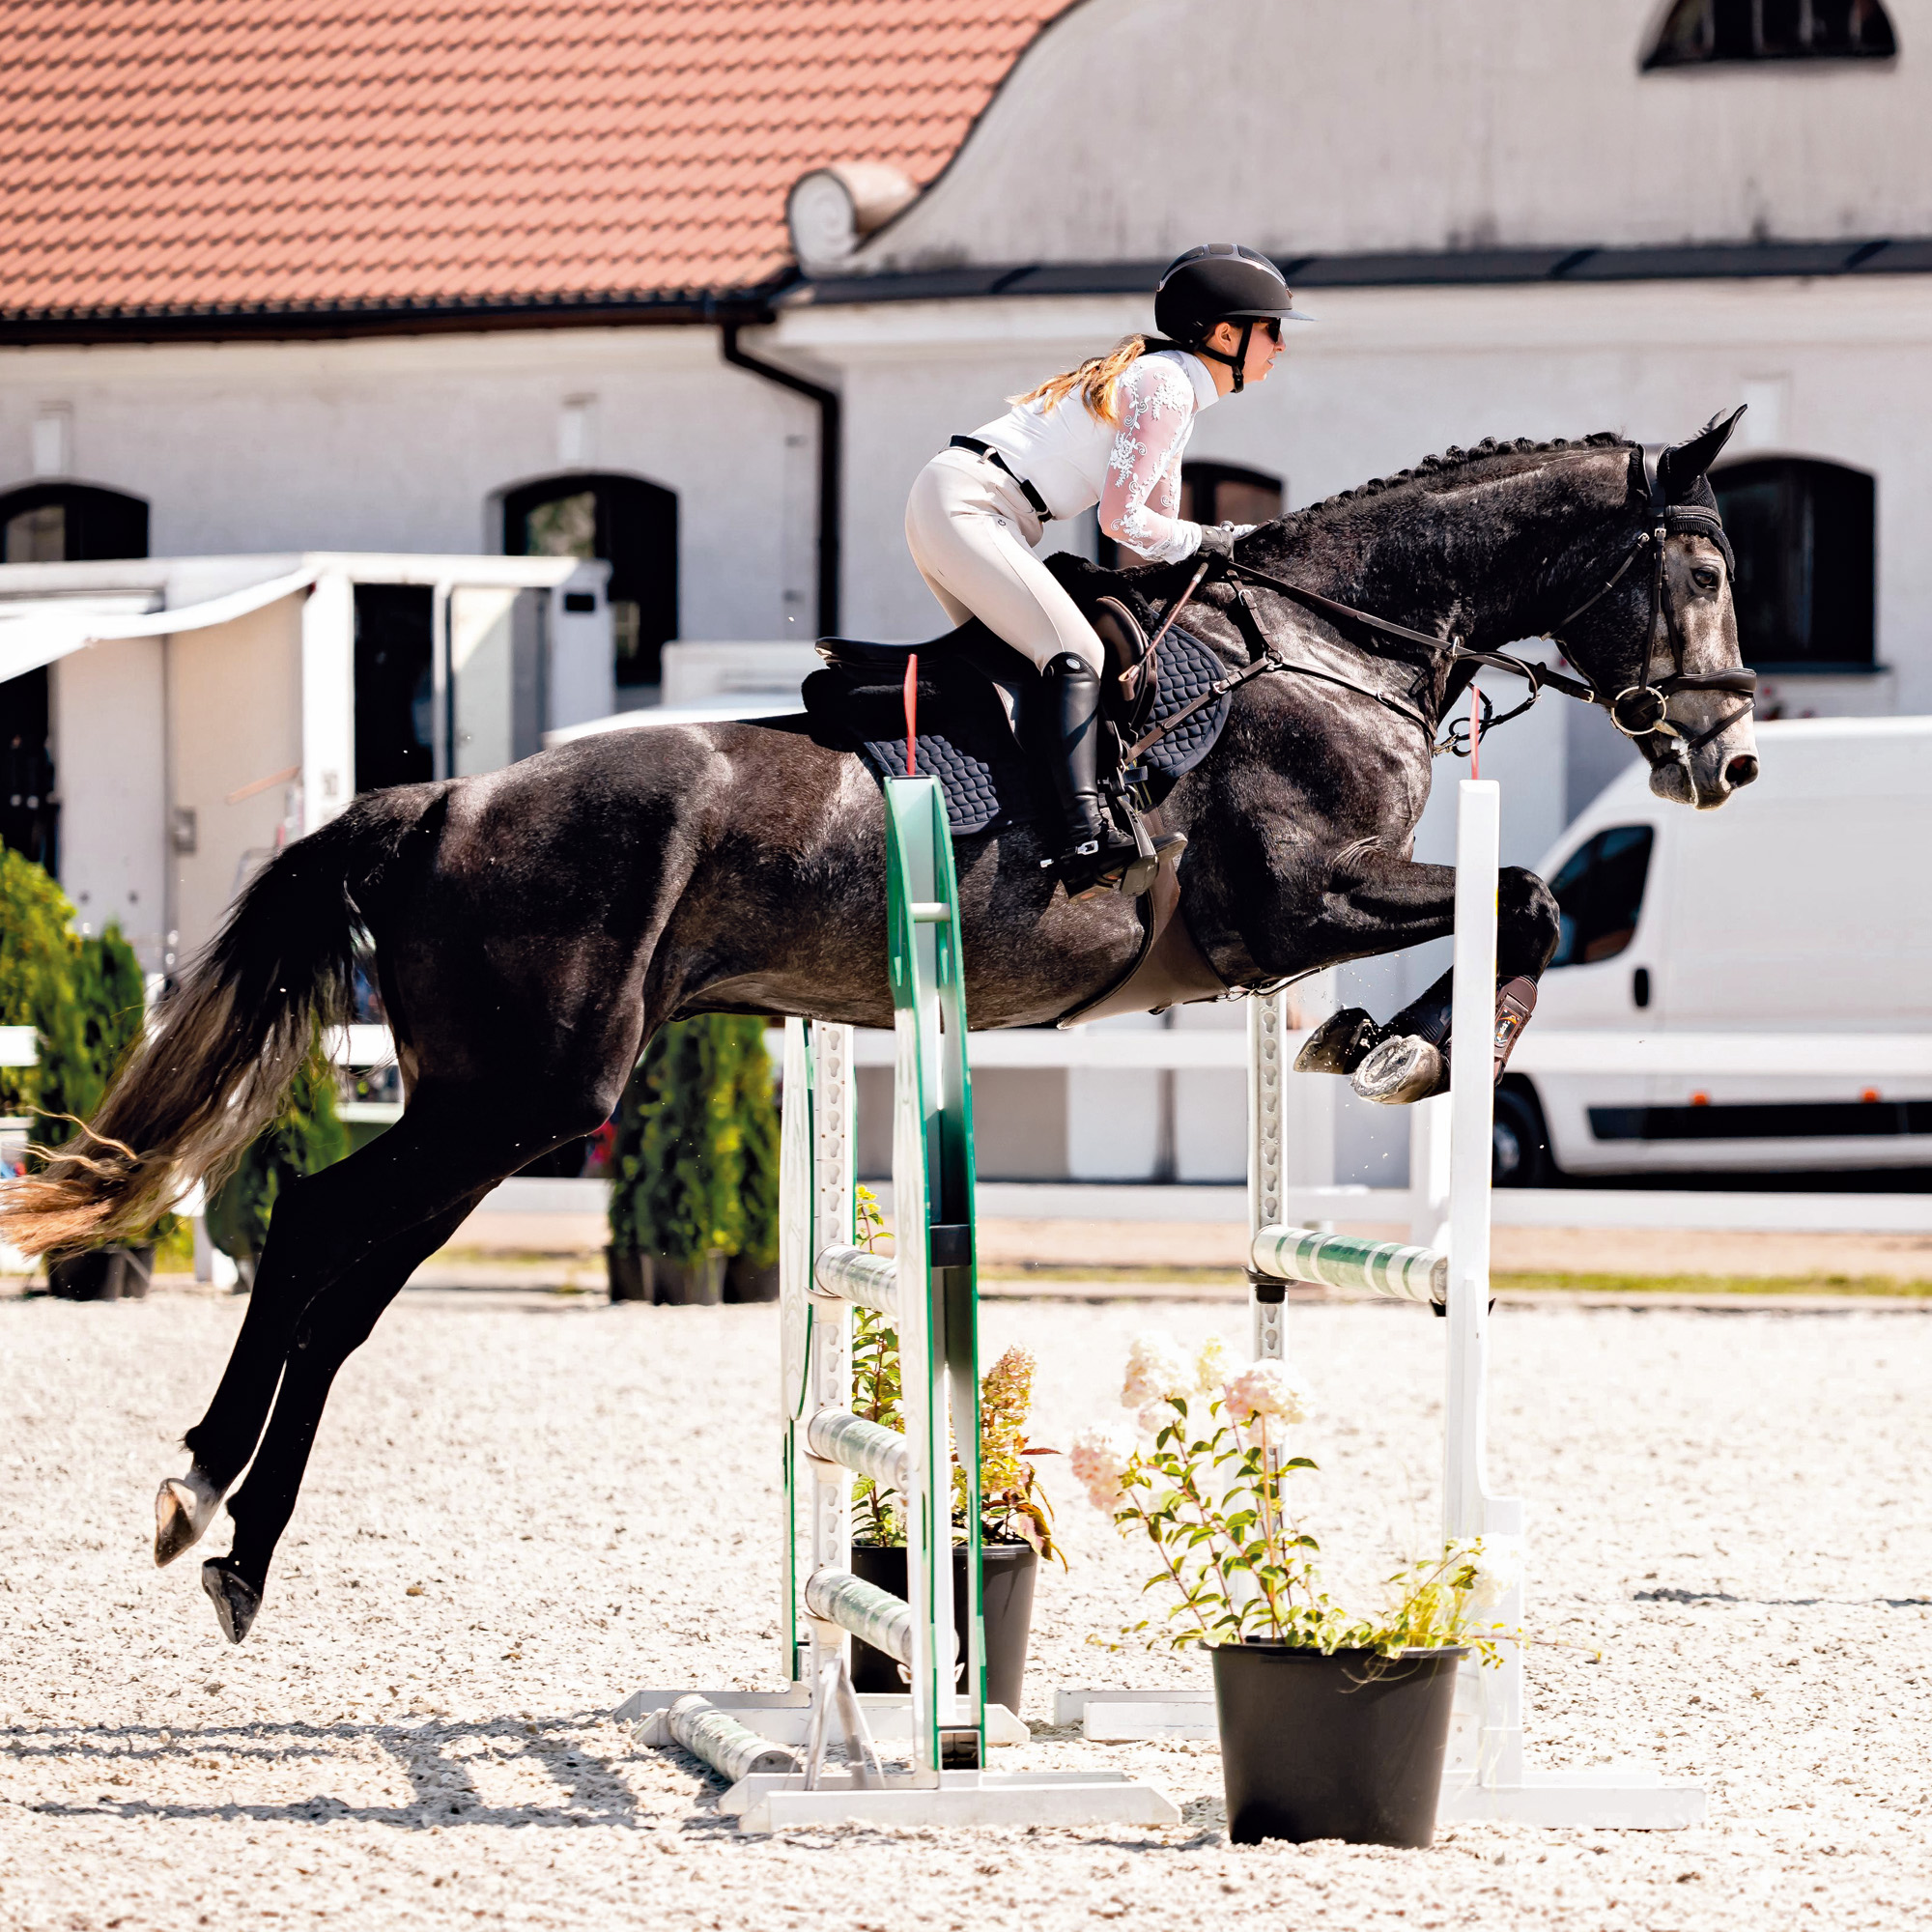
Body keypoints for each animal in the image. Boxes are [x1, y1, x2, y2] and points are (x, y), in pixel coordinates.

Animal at [0, 414, 1758, 1643]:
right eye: (1707, 571)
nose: (1727, 758)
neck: (1339, 644)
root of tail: (435, 802)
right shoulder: (1301, 905)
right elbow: (1529, 898)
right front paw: (1408, 1051)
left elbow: (1512, 907)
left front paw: (1375, 1046)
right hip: (519, 1096)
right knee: (314, 1230)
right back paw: (202, 1497)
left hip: (494, 1108)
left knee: (344, 1285)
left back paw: (230, 1537)